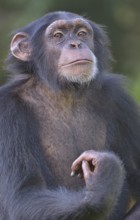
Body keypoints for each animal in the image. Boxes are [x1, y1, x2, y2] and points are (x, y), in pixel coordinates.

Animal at [0, 10, 139, 220]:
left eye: (82, 33)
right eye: (58, 35)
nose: (76, 44)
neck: (66, 94)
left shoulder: (122, 103)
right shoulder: (6, 113)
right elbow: (23, 195)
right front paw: (105, 175)